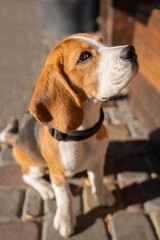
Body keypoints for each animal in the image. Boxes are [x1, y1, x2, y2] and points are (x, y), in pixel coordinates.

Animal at [0, 33, 138, 238]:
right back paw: (45, 189)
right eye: (84, 57)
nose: (131, 50)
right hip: (36, 167)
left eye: (102, 41)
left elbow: (97, 178)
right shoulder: (58, 174)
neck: (83, 133)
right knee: (27, 177)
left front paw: (103, 195)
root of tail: (15, 139)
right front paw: (65, 220)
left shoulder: (98, 160)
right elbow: (65, 197)